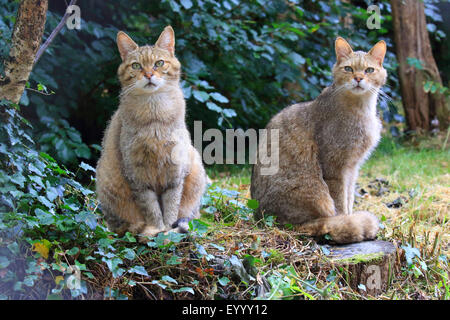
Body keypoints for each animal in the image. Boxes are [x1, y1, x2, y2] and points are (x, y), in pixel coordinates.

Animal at [96, 26, 207, 238]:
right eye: (136, 66)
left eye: (159, 63)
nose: (148, 74)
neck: (154, 114)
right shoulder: (138, 177)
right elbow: (152, 210)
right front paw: (158, 231)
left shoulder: (174, 175)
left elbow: (171, 209)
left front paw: (168, 232)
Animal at [250, 37, 386, 242]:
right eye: (348, 69)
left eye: (369, 70)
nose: (358, 78)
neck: (362, 109)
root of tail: (260, 216)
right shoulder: (336, 168)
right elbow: (340, 203)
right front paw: (346, 220)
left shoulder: (352, 168)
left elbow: (349, 198)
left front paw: (350, 216)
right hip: (313, 191)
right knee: (308, 224)